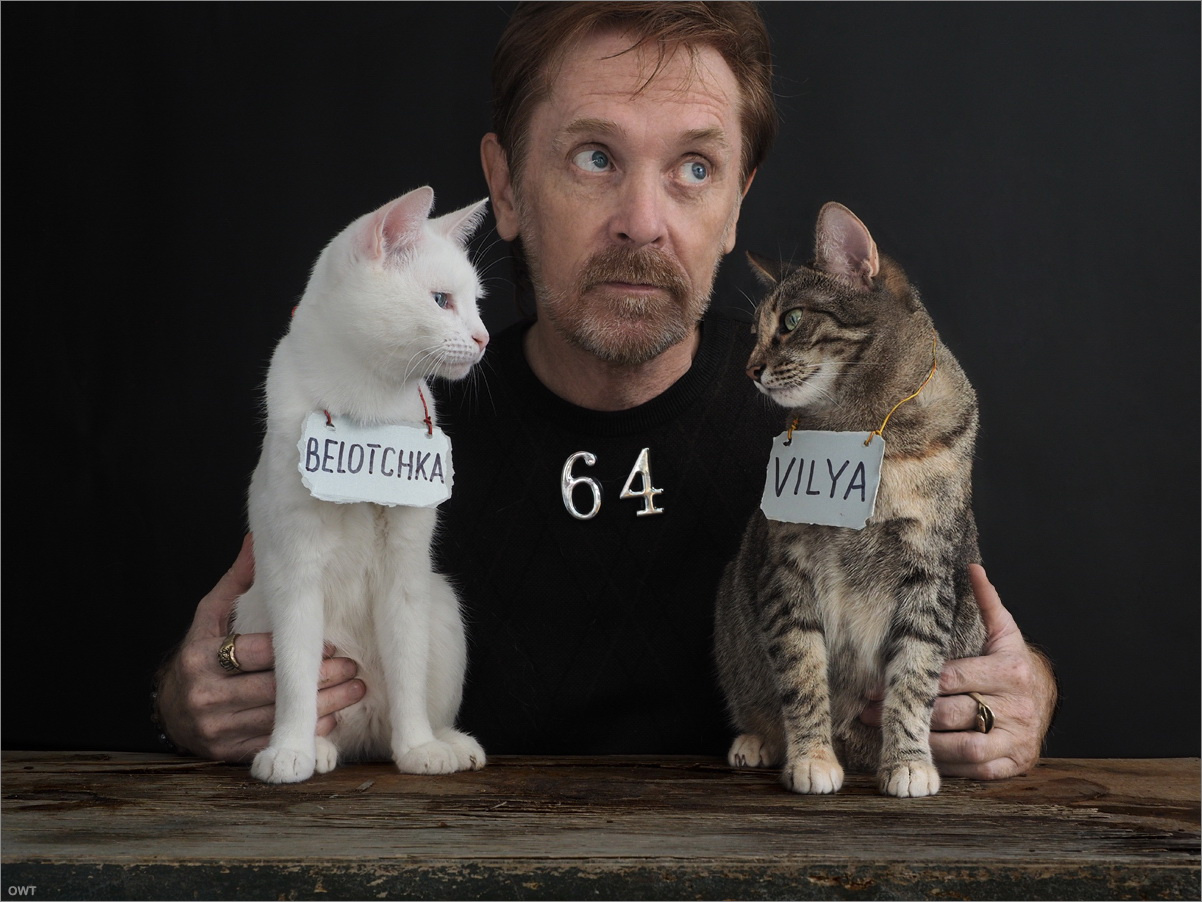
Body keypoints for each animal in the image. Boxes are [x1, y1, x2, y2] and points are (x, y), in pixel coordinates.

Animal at [234, 186, 490, 784]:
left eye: (477, 303)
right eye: (441, 300)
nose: (483, 338)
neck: (369, 413)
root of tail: (365, 738)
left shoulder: (406, 567)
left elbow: (407, 671)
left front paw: (418, 748)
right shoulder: (294, 571)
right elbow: (297, 680)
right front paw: (290, 749)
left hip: (441, 603)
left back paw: (446, 742)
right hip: (255, 609)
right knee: (325, 712)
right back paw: (321, 748)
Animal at [714, 202, 987, 798]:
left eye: (792, 321)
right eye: (755, 331)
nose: (750, 369)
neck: (857, 424)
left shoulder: (929, 570)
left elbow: (914, 678)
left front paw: (908, 762)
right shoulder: (787, 567)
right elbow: (801, 673)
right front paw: (812, 757)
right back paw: (759, 740)